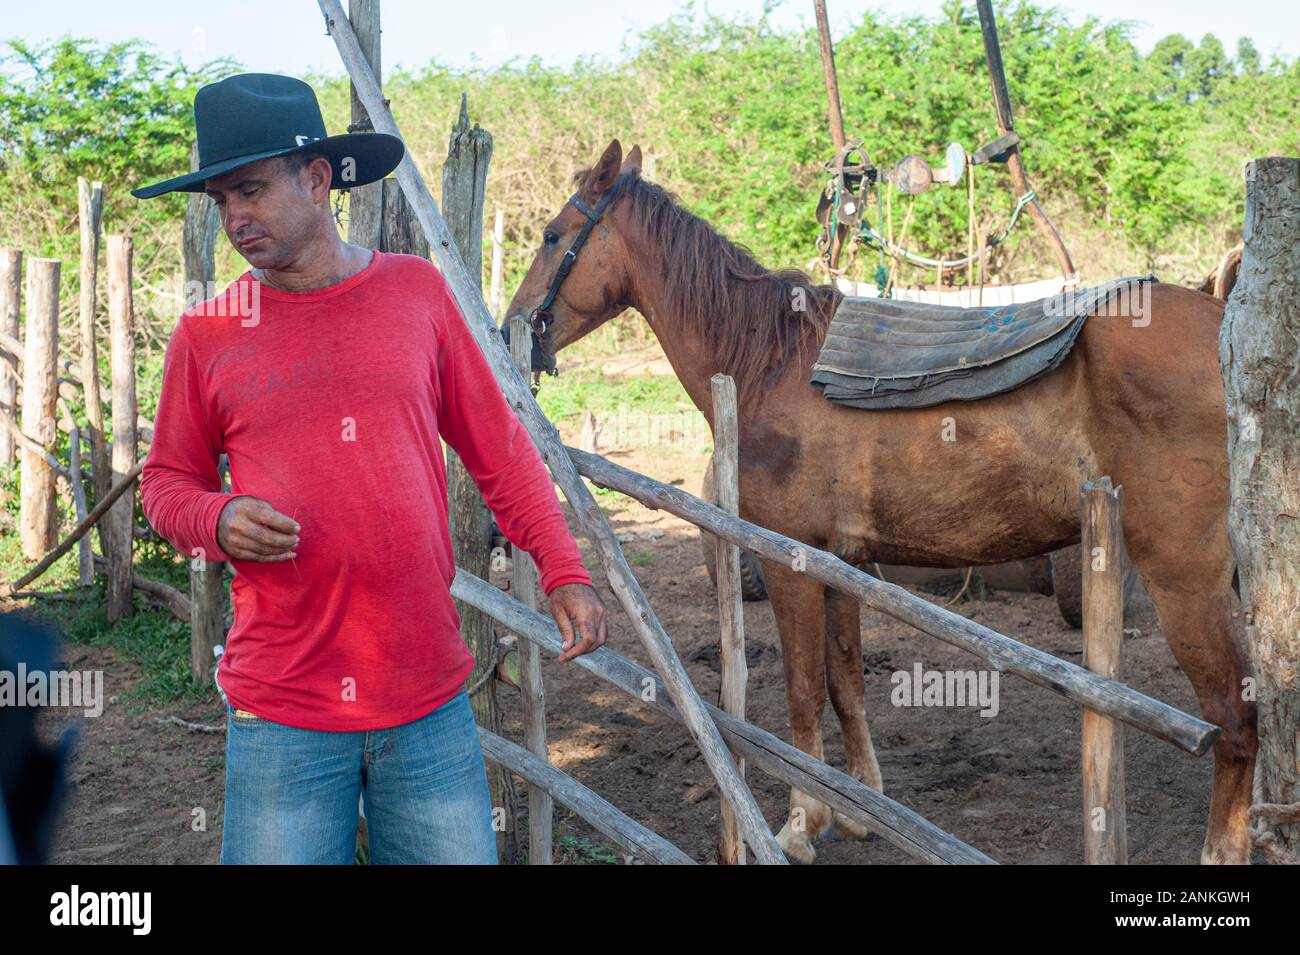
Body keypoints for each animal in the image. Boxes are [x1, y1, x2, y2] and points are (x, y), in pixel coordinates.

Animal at [501, 141, 1253, 867]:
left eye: (552, 235)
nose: (514, 326)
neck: (768, 361)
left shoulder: (793, 564)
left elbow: (804, 691)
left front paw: (802, 822)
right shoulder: (845, 564)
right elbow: (846, 683)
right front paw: (861, 805)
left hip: (1184, 578)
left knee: (1236, 716)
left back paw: (1223, 847)